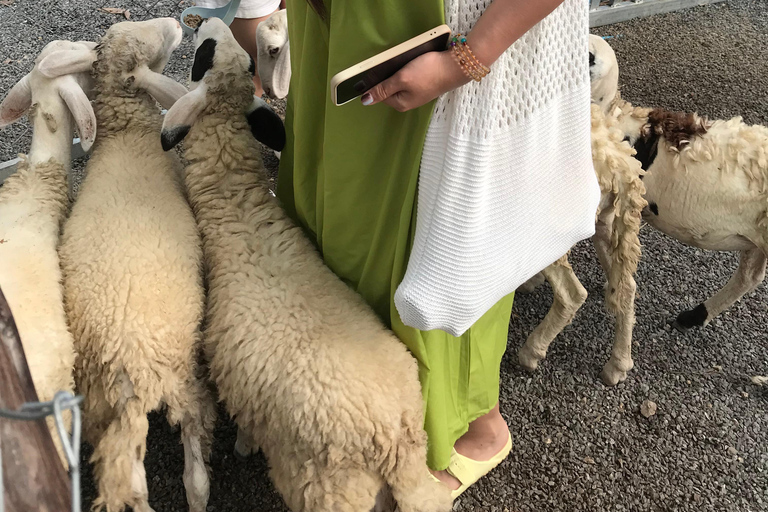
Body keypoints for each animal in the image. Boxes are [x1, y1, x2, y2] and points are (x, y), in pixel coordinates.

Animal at [58, 19, 214, 512]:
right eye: (155, 45)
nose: (177, 24)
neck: (126, 133)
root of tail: (132, 363)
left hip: (103, 407)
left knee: (133, 477)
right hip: (182, 371)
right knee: (195, 469)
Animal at [162, 19, 450, 512]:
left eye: (203, 54)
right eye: (239, 59)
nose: (207, 22)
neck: (240, 213)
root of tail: (395, 441)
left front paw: (243, 446)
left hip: (328, 492)